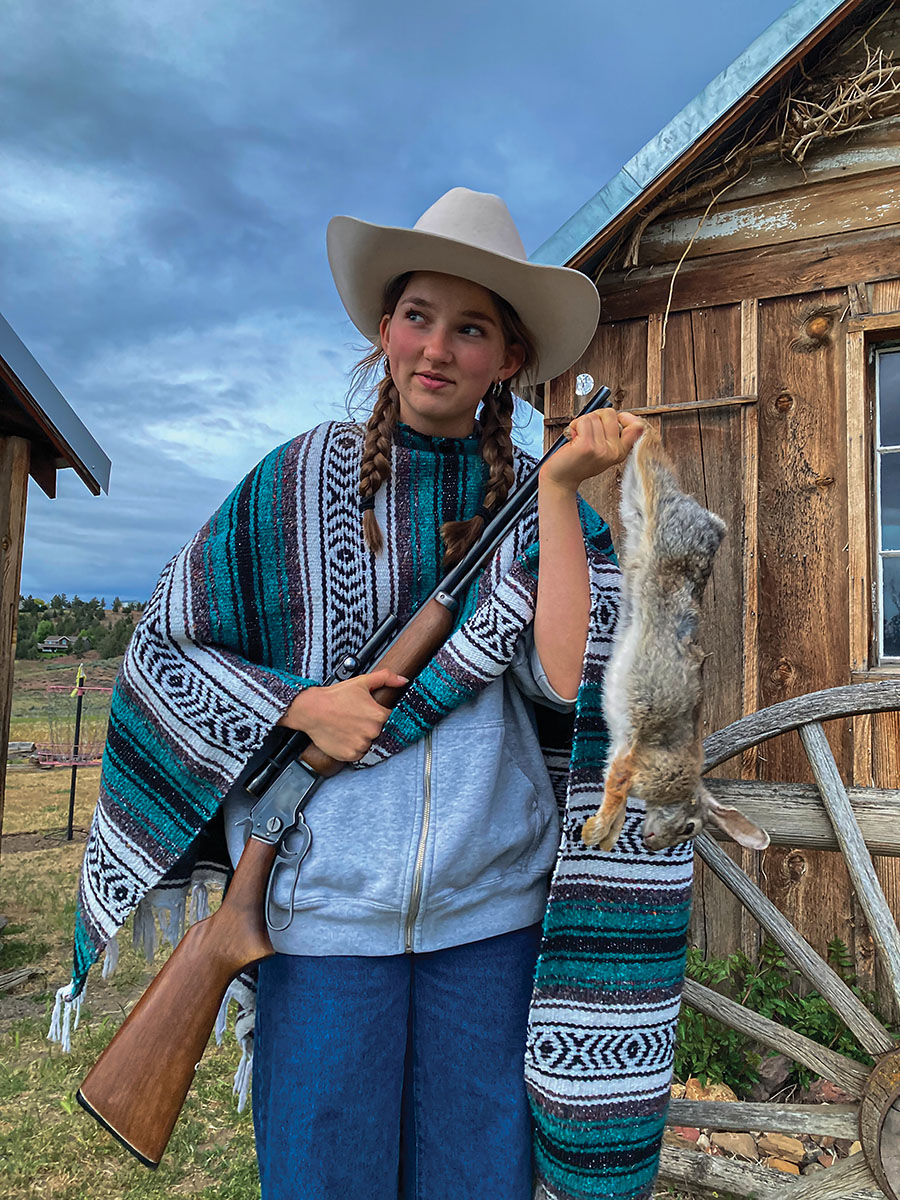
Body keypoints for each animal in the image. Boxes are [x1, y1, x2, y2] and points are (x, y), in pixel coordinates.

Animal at [581, 425, 769, 854]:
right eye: (690, 828)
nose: (652, 843)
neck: (682, 787)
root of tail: (707, 518)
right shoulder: (634, 764)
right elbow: (616, 790)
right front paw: (595, 831)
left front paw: (604, 836)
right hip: (657, 511)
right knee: (650, 454)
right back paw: (638, 427)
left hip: (635, 510)